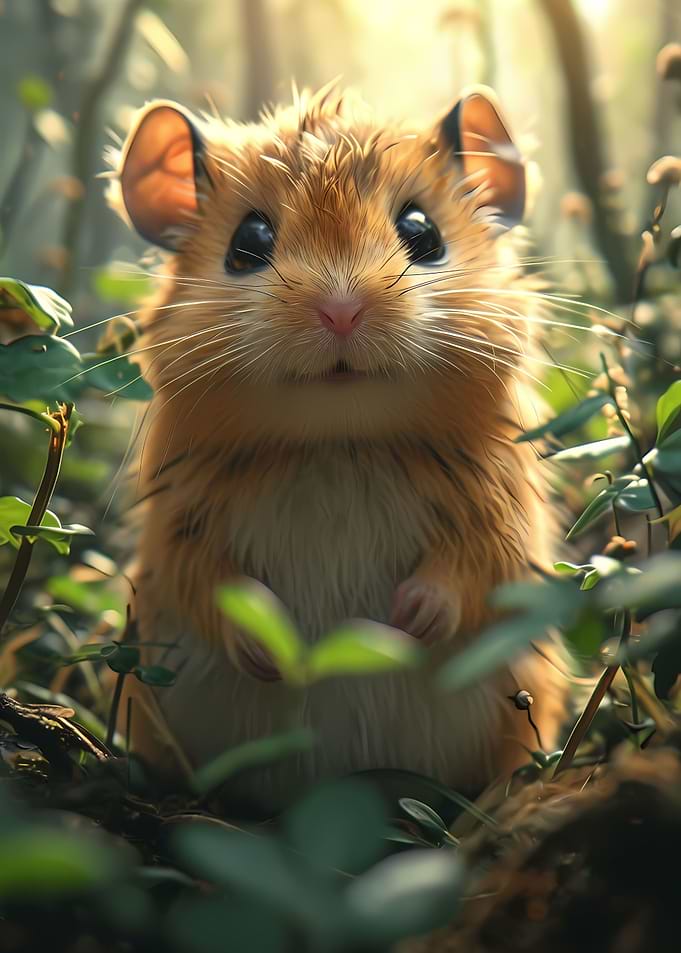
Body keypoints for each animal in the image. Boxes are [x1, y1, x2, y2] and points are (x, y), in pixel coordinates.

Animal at [108, 83, 564, 810]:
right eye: (248, 242)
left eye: (423, 233)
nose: (342, 311)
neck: (337, 444)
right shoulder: (179, 527)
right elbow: (210, 583)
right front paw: (272, 649)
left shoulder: (500, 513)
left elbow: (469, 568)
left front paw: (407, 621)